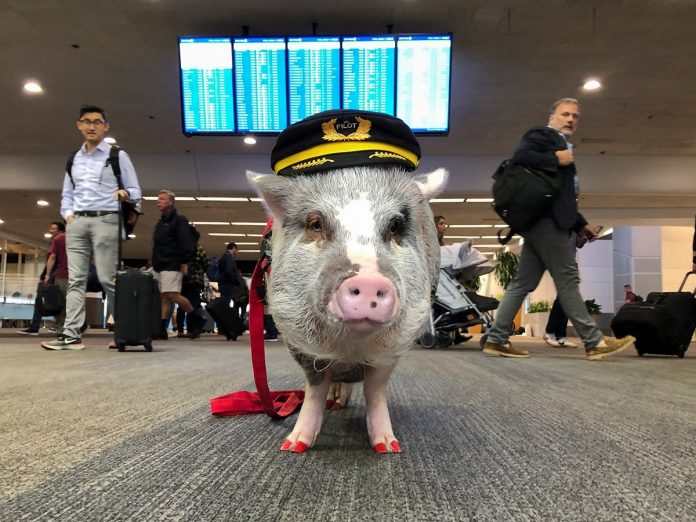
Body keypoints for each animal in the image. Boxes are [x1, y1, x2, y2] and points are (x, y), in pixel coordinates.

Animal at [247, 164, 448, 450]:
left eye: (395, 226)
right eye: (316, 223)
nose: (367, 280)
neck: (350, 346)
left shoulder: (393, 348)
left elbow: (375, 390)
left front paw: (387, 447)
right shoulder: (300, 344)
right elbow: (314, 390)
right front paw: (294, 446)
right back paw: (332, 405)